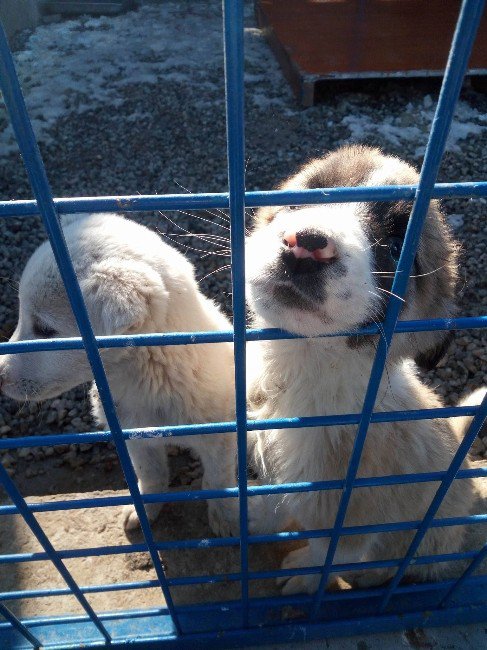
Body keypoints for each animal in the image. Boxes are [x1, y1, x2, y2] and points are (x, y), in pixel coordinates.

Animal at [0, 210, 240, 536]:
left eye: (45, 330)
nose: (0, 376)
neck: (150, 379)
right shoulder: (133, 433)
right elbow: (151, 474)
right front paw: (144, 510)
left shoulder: (221, 435)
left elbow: (218, 480)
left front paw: (225, 518)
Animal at [248, 146, 487, 592]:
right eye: (297, 202)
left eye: (395, 248)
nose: (306, 243)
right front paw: (257, 513)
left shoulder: (356, 521)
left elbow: (329, 554)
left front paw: (303, 574)